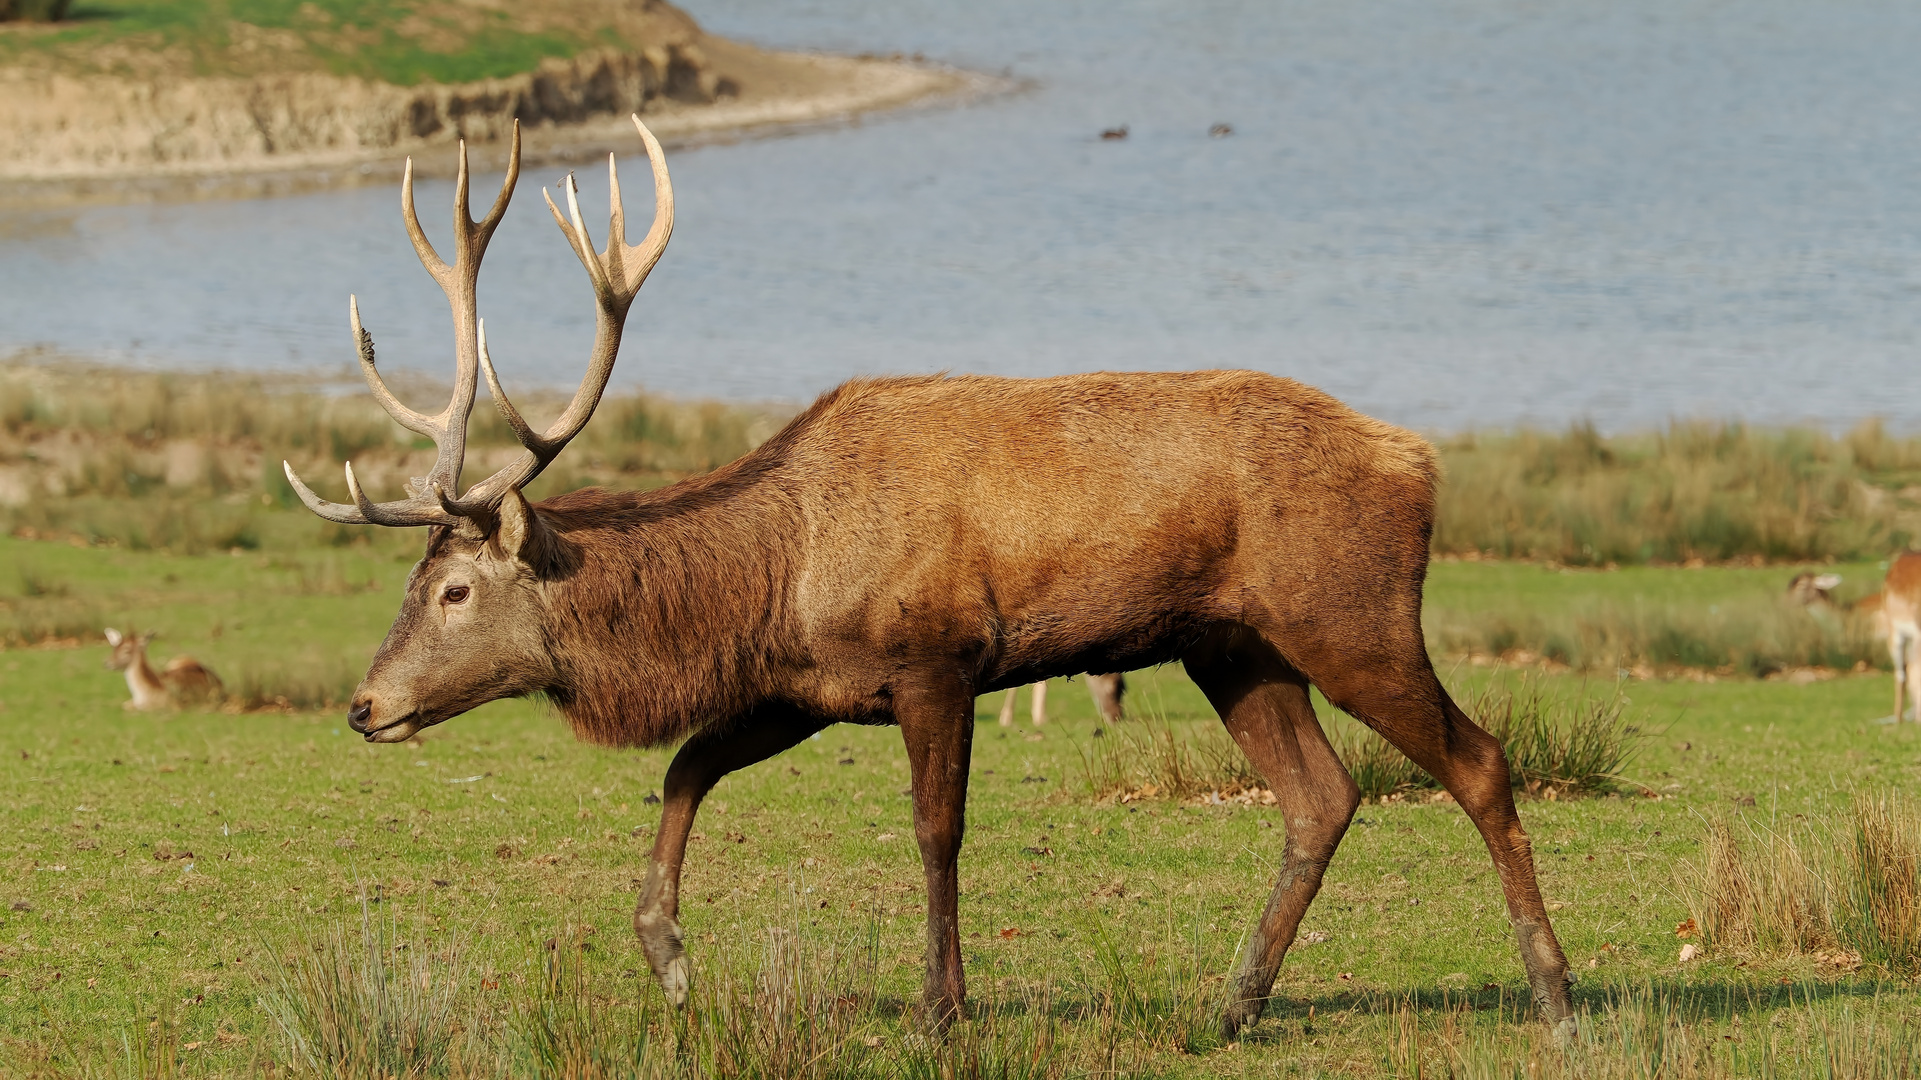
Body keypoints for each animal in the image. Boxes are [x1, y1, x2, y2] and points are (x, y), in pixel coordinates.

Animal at [280, 115, 1575, 1037]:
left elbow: (933, 829)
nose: (364, 704)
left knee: (1477, 760)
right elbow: (688, 769)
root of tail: (1420, 461)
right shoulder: (806, 687)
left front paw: (940, 1008)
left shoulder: (936, 656)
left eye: (452, 590)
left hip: (1350, 612)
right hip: (1232, 646)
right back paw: (1231, 1002)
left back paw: (1552, 991)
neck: (775, 575)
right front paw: (668, 957)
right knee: (1320, 796)